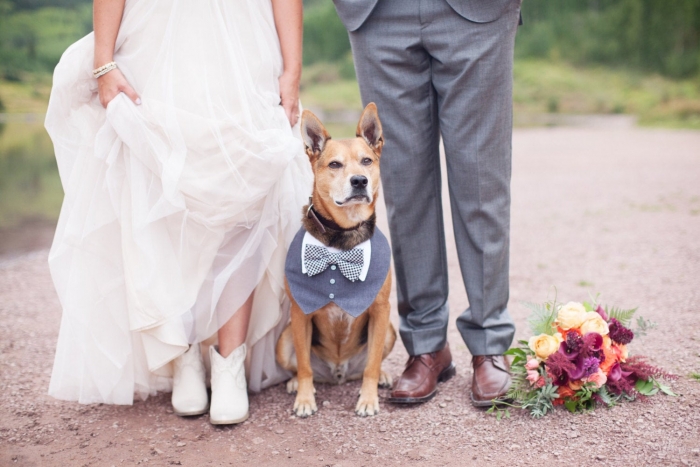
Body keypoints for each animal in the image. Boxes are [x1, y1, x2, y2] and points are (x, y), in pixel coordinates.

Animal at [274, 102, 396, 416]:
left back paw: (384, 376)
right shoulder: (300, 312)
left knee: (369, 364)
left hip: (389, 331)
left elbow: (371, 365)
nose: (359, 180)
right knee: (300, 365)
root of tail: (338, 371)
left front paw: (369, 399)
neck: (341, 240)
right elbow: (304, 365)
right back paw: (295, 382)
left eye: (366, 161)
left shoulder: (380, 310)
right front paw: (304, 399)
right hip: (284, 340)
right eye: (334, 165)